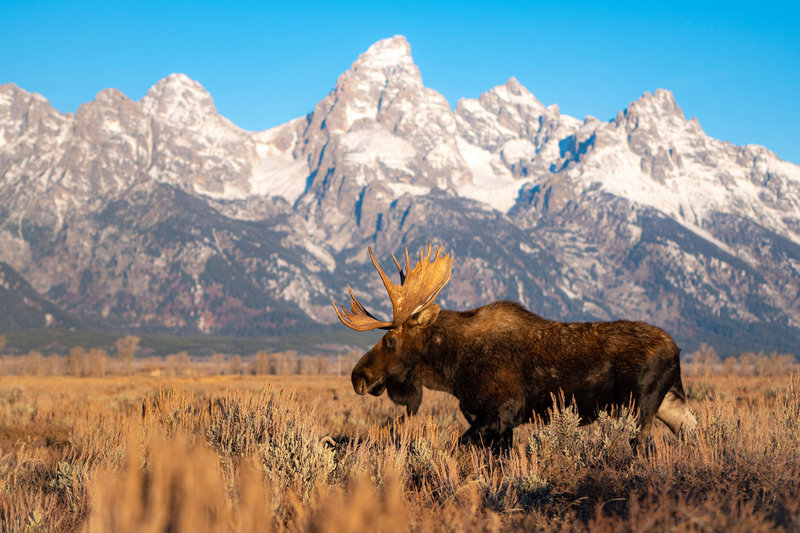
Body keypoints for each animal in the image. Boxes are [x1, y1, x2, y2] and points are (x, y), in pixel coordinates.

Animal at [332, 244, 692, 448]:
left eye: (390, 340)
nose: (357, 376)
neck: (451, 369)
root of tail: (677, 351)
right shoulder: (494, 422)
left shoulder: (502, 412)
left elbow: (459, 447)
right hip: (670, 403)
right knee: (691, 432)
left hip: (639, 407)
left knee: (643, 447)